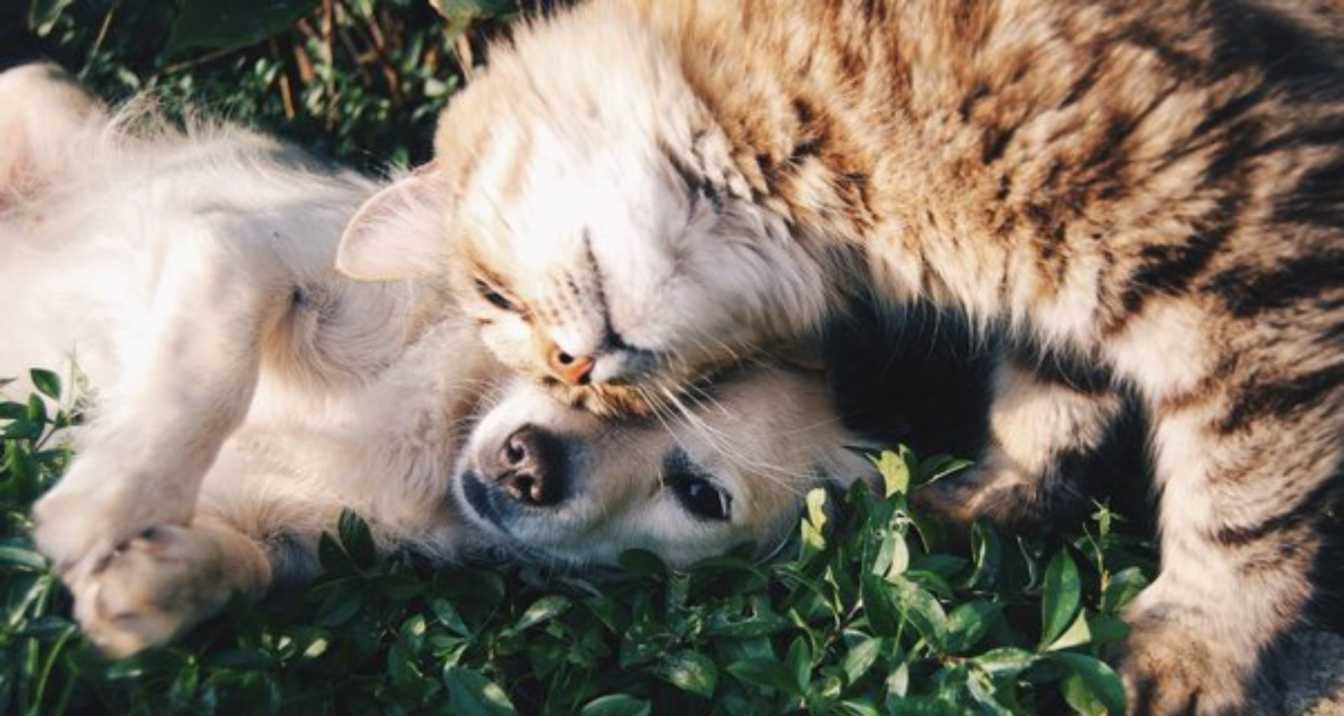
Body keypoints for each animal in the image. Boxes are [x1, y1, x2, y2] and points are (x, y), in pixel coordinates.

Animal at [0, 68, 876, 658]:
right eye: (571, 361)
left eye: (699, 495)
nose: (529, 465)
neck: (440, 428)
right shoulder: (241, 250)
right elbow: (205, 379)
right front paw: (108, 502)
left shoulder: (295, 538)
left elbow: (244, 567)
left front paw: (153, 582)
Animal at [341, 2, 1344, 709]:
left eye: (496, 299)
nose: (574, 367)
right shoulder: (1071, 292)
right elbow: (1046, 408)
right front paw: (988, 500)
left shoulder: (1246, 251)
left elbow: (1242, 499)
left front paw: (1197, 646)